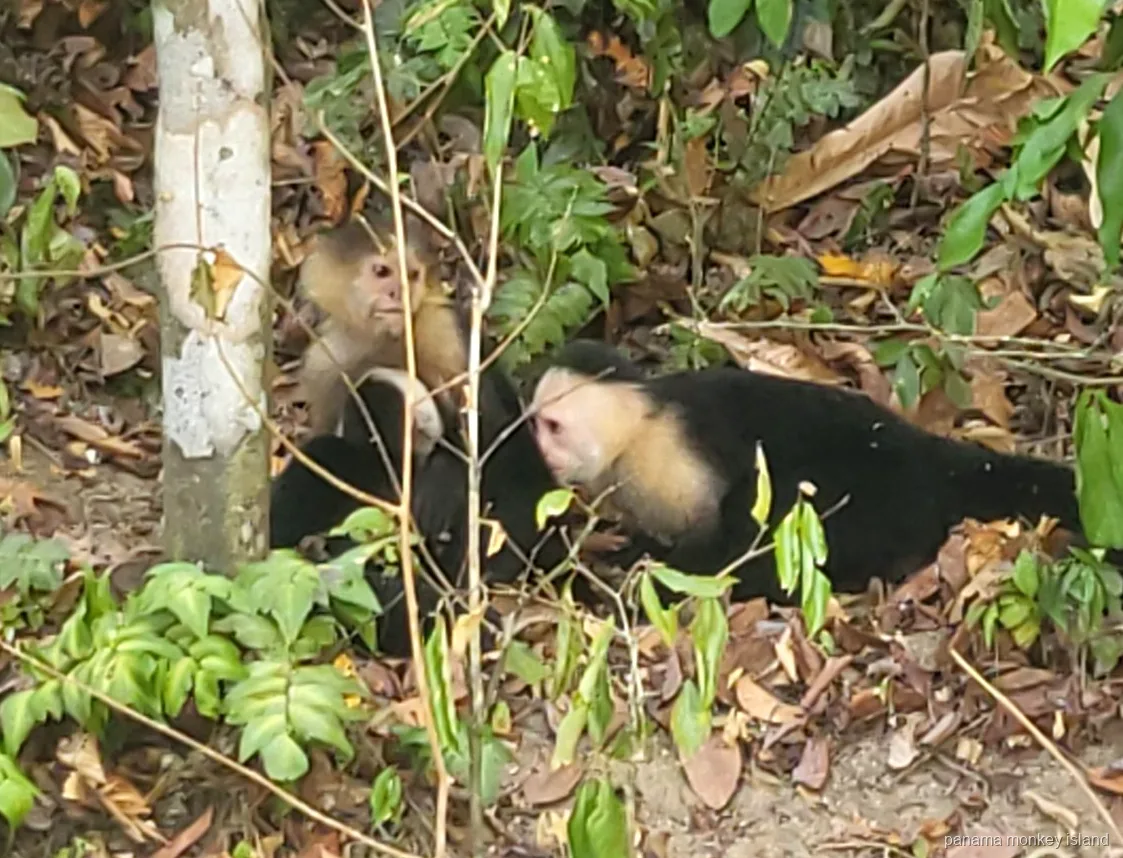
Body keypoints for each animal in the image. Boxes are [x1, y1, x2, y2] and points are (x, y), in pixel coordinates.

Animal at [529, 339, 1106, 604]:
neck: (636, 433)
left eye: (552, 426)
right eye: (535, 424)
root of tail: (925, 454)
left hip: (872, 493)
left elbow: (723, 532)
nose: (542, 454)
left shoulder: (670, 456)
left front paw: (644, 566)